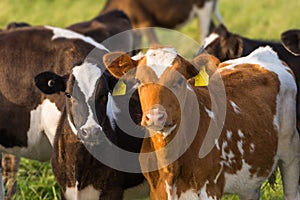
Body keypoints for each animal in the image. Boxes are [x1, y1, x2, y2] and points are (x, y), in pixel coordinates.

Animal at [103, 46, 300, 199]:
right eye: (139, 81)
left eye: (180, 80)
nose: (155, 117)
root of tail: (264, 53)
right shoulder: (157, 191)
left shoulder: (209, 189)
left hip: (291, 153)